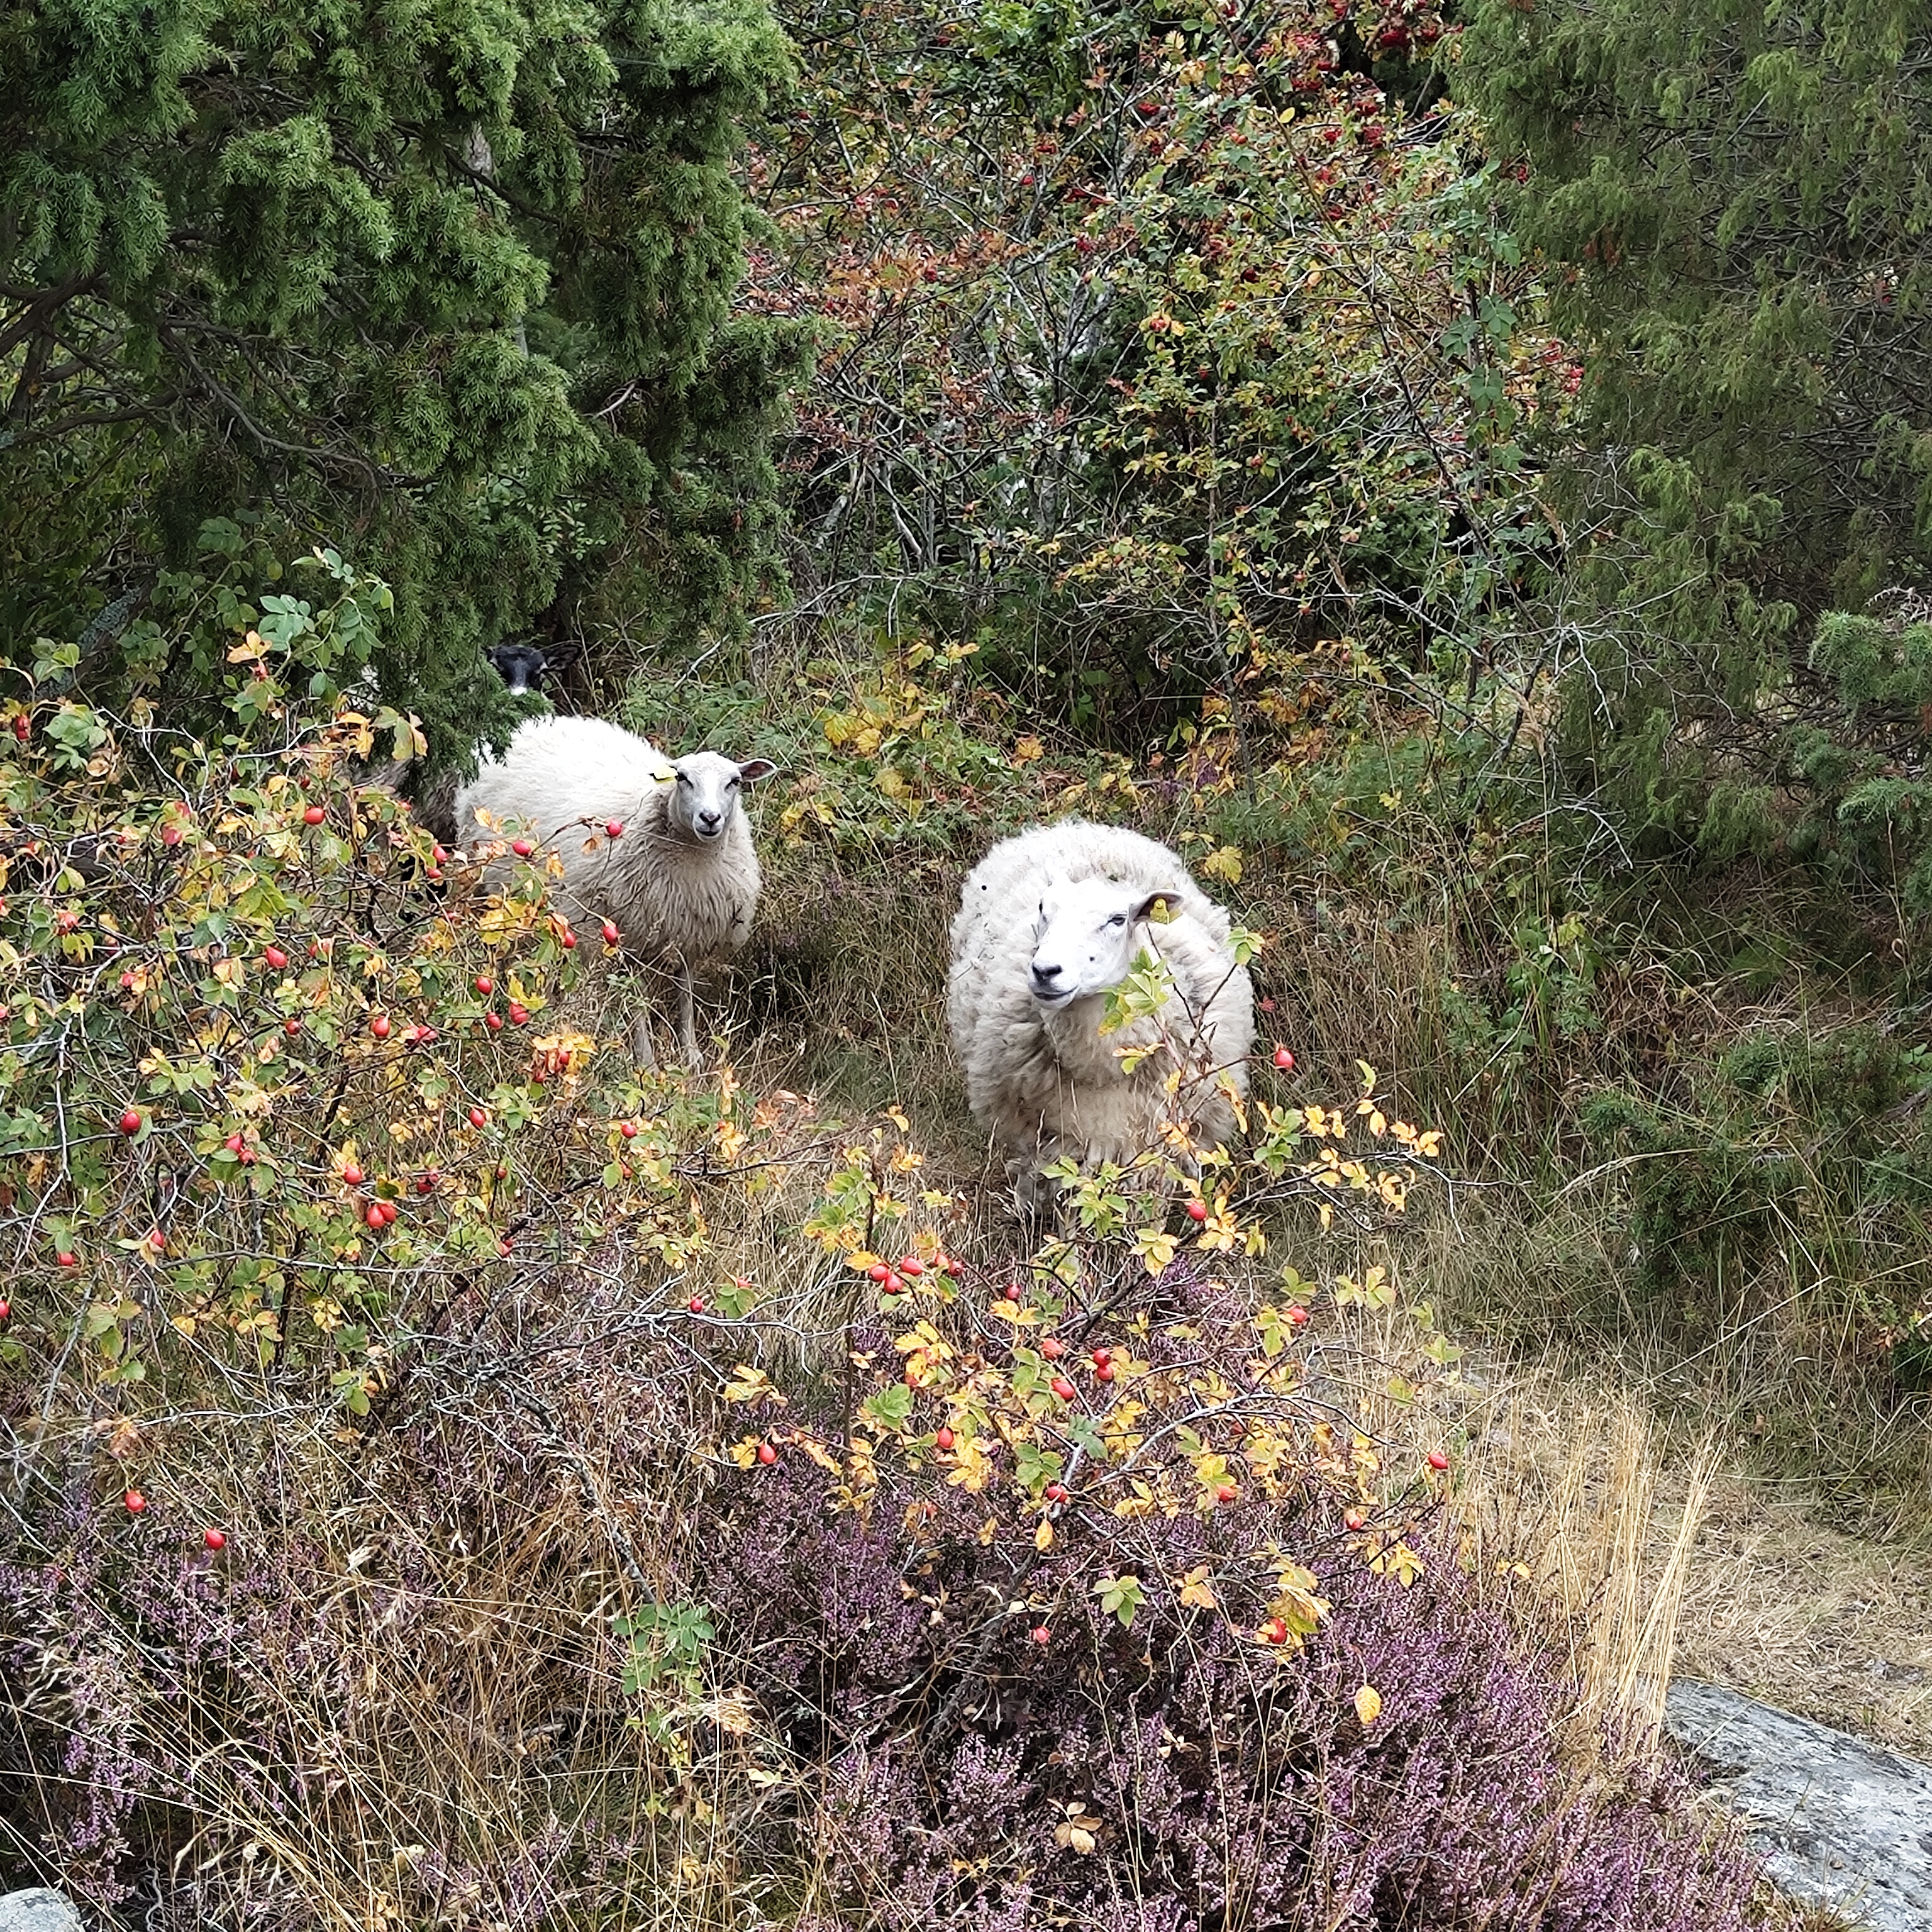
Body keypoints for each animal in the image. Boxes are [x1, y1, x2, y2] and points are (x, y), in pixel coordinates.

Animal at [453, 714, 776, 1070]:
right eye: (682, 778)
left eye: (734, 781)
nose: (710, 818)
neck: (694, 859)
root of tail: (527, 724)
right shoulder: (629, 934)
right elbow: (636, 1000)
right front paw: (646, 1061)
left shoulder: (688, 931)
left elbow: (686, 991)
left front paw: (691, 1055)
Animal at [948, 820, 1254, 1216]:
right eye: (1043, 908)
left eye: (1118, 919)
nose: (1045, 972)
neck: (1103, 1066)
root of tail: (1076, 825)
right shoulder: (1057, 1146)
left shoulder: (1160, 1146)